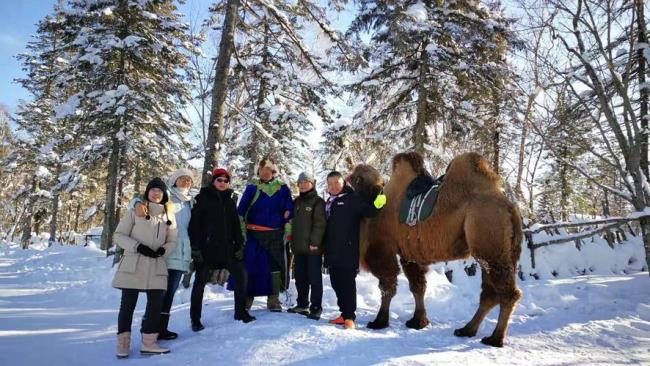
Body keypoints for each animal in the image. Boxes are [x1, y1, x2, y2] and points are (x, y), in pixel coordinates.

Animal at [350, 150, 520, 348]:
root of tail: (509, 207)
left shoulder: (382, 249)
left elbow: (388, 286)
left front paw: (379, 321)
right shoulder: (410, 254)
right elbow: (418, 287)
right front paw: (418, 321)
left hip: (489, 239)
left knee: (507, 293)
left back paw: (495, 338)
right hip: (495, 251)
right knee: (489, 293)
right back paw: (466, 330)